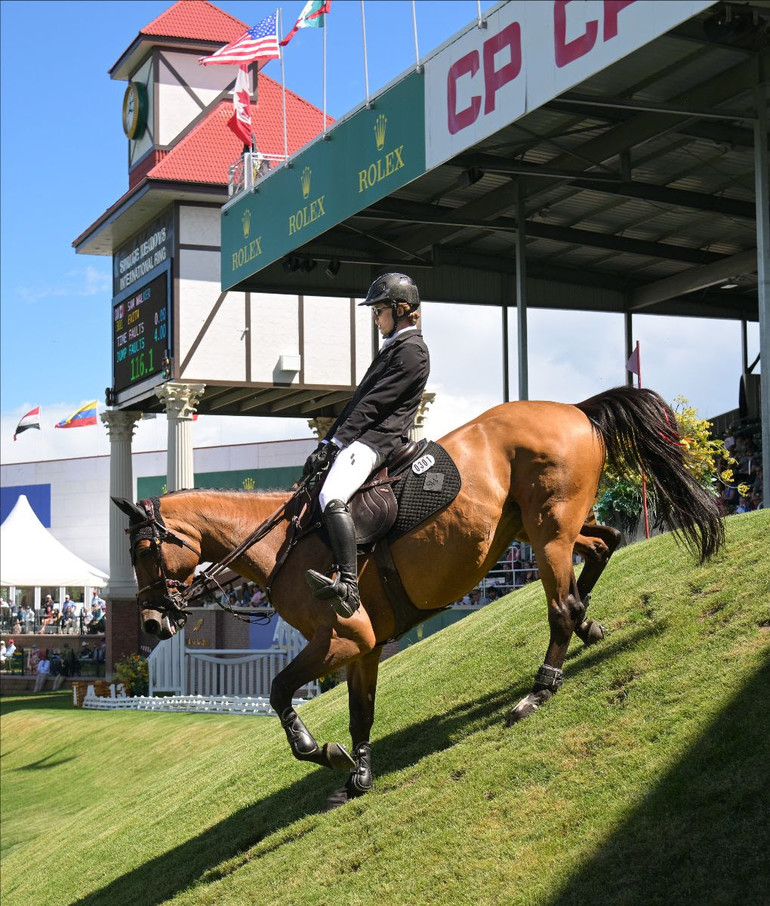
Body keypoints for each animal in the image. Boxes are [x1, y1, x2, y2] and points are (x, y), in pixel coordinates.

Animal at [112, 388, 720, 804]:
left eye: (141, 549)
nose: (152, 623)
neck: (282, 543)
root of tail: (574, 409)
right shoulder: (364, 646)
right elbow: (360, 713)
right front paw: (357, 774)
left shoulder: (343, 635)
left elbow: (280, 689)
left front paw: (319, 751)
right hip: (542, 527)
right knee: (604, 544)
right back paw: (590, 626)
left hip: (547, 534)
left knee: (561, 605)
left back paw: (538, 692)